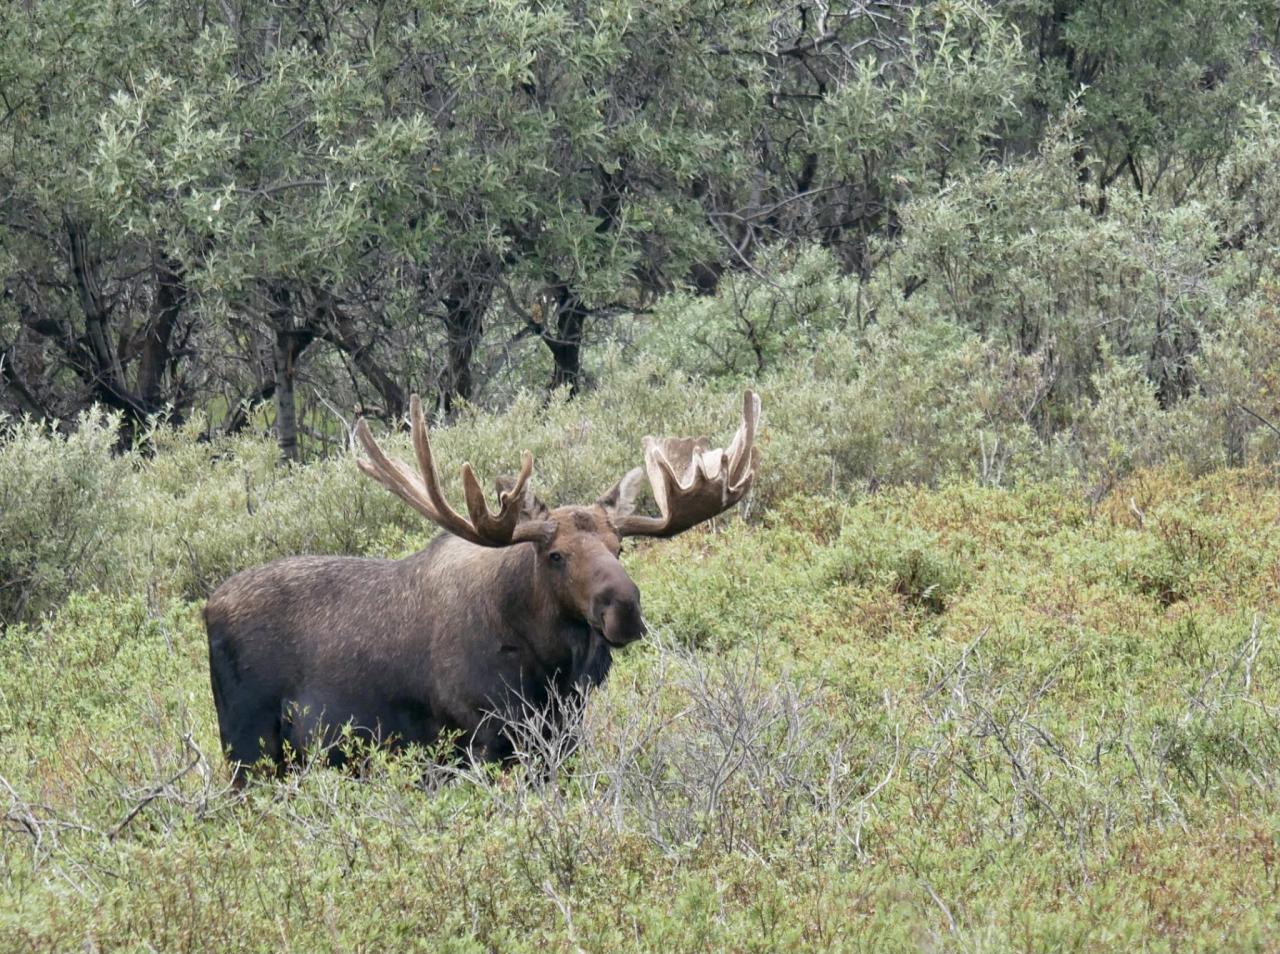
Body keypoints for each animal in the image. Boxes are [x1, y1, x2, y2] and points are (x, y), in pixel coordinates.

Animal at [203, 389, 752, 783]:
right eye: (555, 555)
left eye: (619, 547)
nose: (624, 608)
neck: (547, 665)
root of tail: (207, 608)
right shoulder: (479, 738)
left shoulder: (562, 737)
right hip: (248, 747)